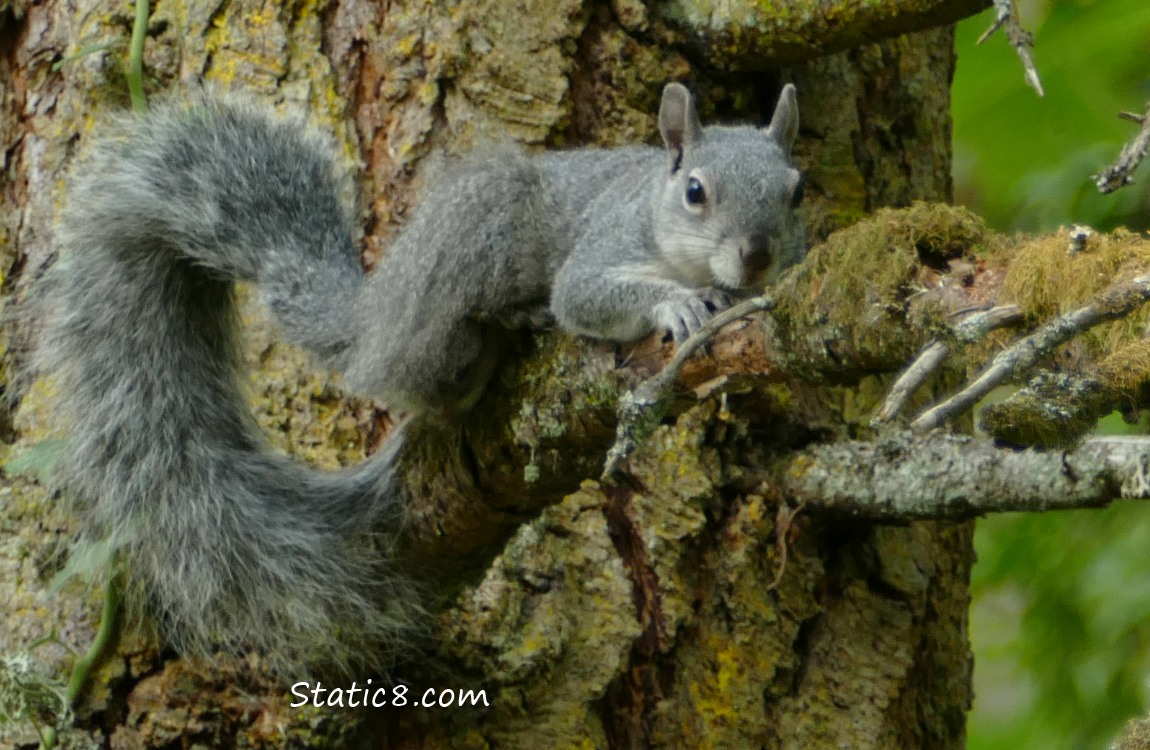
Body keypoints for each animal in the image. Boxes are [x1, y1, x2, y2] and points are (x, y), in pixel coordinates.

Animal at [33, 82, 809, 671]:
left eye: (797, 191)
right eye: (696, 191)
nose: (757, 255)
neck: (653, 207)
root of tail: (375, 317)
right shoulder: (599, 249)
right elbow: (586, 296)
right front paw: (675, 302)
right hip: (479, 229)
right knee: (432, 373)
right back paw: (499, 334)